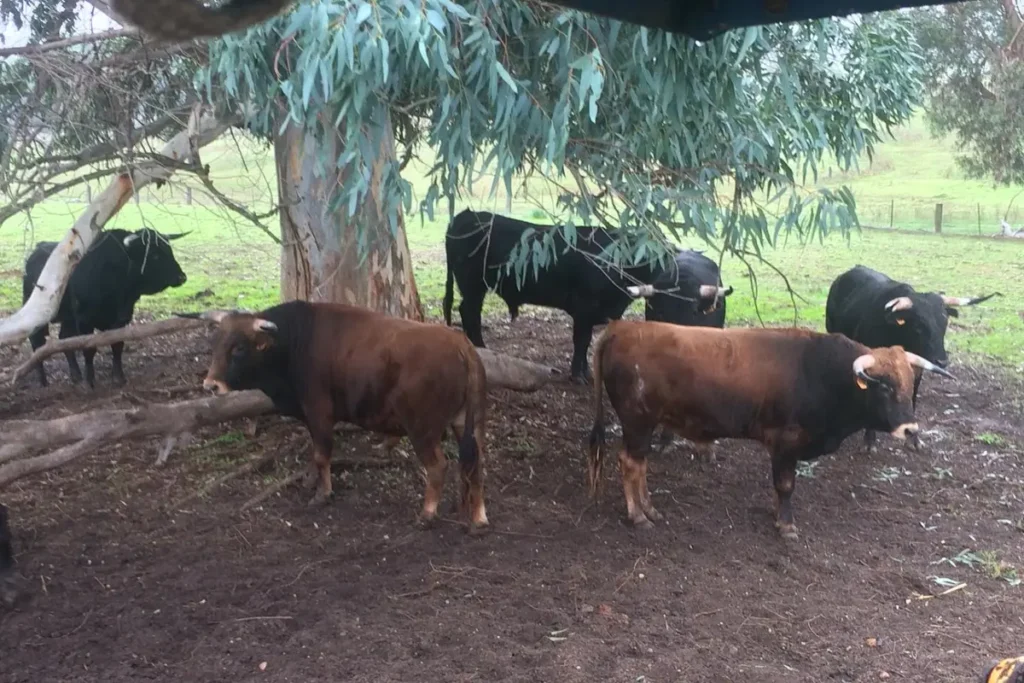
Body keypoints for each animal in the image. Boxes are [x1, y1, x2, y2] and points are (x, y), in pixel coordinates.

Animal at [23, 228, 189, 388]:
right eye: (154, 255)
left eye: (169, 249)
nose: (182, 277)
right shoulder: (84, 320)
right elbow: (89, 349)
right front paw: (90, 381)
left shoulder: (122, 318)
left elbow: (117, 345)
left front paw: (119, 377)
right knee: (37, 344)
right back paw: (43, 381)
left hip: (68, 317)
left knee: (64, 338)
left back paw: (76, 375)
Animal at [183, 300, 489, 532]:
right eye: (215, 342)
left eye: (239, 347)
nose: (211, 386)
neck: (295, 343)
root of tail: (462, 345)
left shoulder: (319, 413)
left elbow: (321, 455)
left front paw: (323, 494)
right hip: (467, 422)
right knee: (474, 463)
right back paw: (478, 517)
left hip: (422, 428)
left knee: (438, 466)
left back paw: (427, 514)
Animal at [442, 210, 733, 383]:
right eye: (660, 309)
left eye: (692, 310)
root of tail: (465, 215)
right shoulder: (583, 309)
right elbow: (581, 341)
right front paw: (578, 375)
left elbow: (586, 342)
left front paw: (585, 373)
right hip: (472, 285)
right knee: (469, 312)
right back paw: (480, 346)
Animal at [585, 321, 954, 539]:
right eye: (884, 387)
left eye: (908, 383)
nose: (910, 430)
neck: (821, 372)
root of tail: (623, 327)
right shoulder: (785, 442)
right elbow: (786, 485)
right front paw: (786, 524)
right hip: (637, 422)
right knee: (630, 463)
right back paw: (637, 515)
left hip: (644, 425)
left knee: (640, 463)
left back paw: (649, 508)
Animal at [825, 265, 999, 451]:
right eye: (919, 326)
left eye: (944, 323)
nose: (942, 361)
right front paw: (870, 440)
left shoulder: (916, 370)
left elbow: (913, 397)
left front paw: (914, 440)